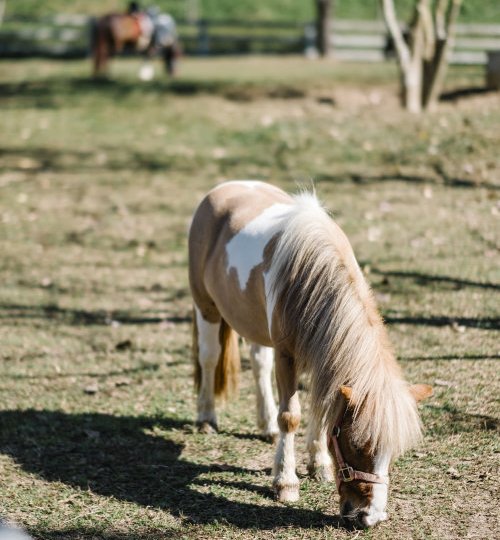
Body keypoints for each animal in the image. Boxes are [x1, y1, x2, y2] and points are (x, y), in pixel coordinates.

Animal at [188, 181, 430, 528]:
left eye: (393, 451)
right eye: (357, 444)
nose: (369, 517)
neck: (310, 275)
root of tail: (224, 188)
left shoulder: (321, 355)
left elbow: (320, 406)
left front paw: (319, 466)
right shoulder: (287, 355)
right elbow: (291, 416)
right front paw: (286, 483)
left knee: (258, 363)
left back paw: (266, 425)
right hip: (205, 306)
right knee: (209, 357)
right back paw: (206, 417)